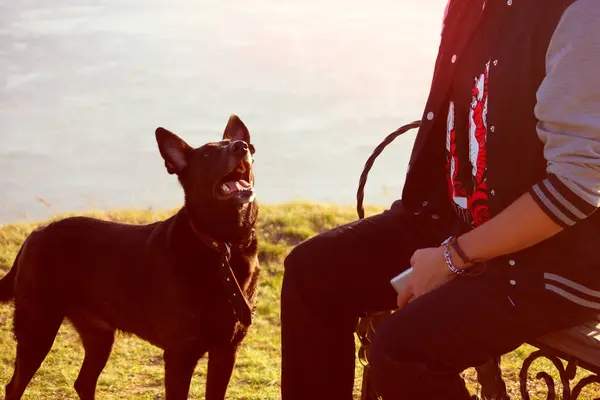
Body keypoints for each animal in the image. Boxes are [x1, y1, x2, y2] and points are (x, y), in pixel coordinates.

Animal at [1, 115, 262, 400]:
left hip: (98, 334)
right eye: (207, 154)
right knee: (14, 385)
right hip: (37, 327)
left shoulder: (226, 351)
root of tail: (35, 233)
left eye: (244, 146)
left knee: (83, 381)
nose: (241, 147)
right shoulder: (180, 355)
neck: (223, 246)